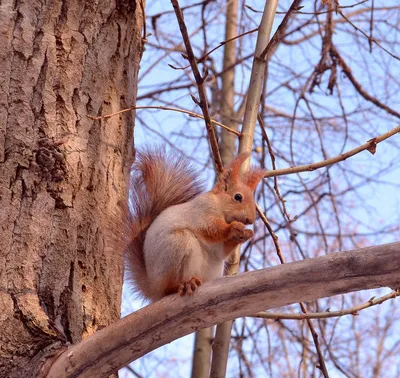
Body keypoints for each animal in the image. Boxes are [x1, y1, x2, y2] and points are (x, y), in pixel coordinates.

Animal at [126, 148, 266, 302]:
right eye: (238, 197)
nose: (250, 220)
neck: (219, 205)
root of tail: (153, 287)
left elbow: (220, 251)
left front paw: (246, 234)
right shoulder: (202, 213)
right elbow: (212, 228)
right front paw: (233, 228)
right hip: (177, 245)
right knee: (169, 287)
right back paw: (185, 284)